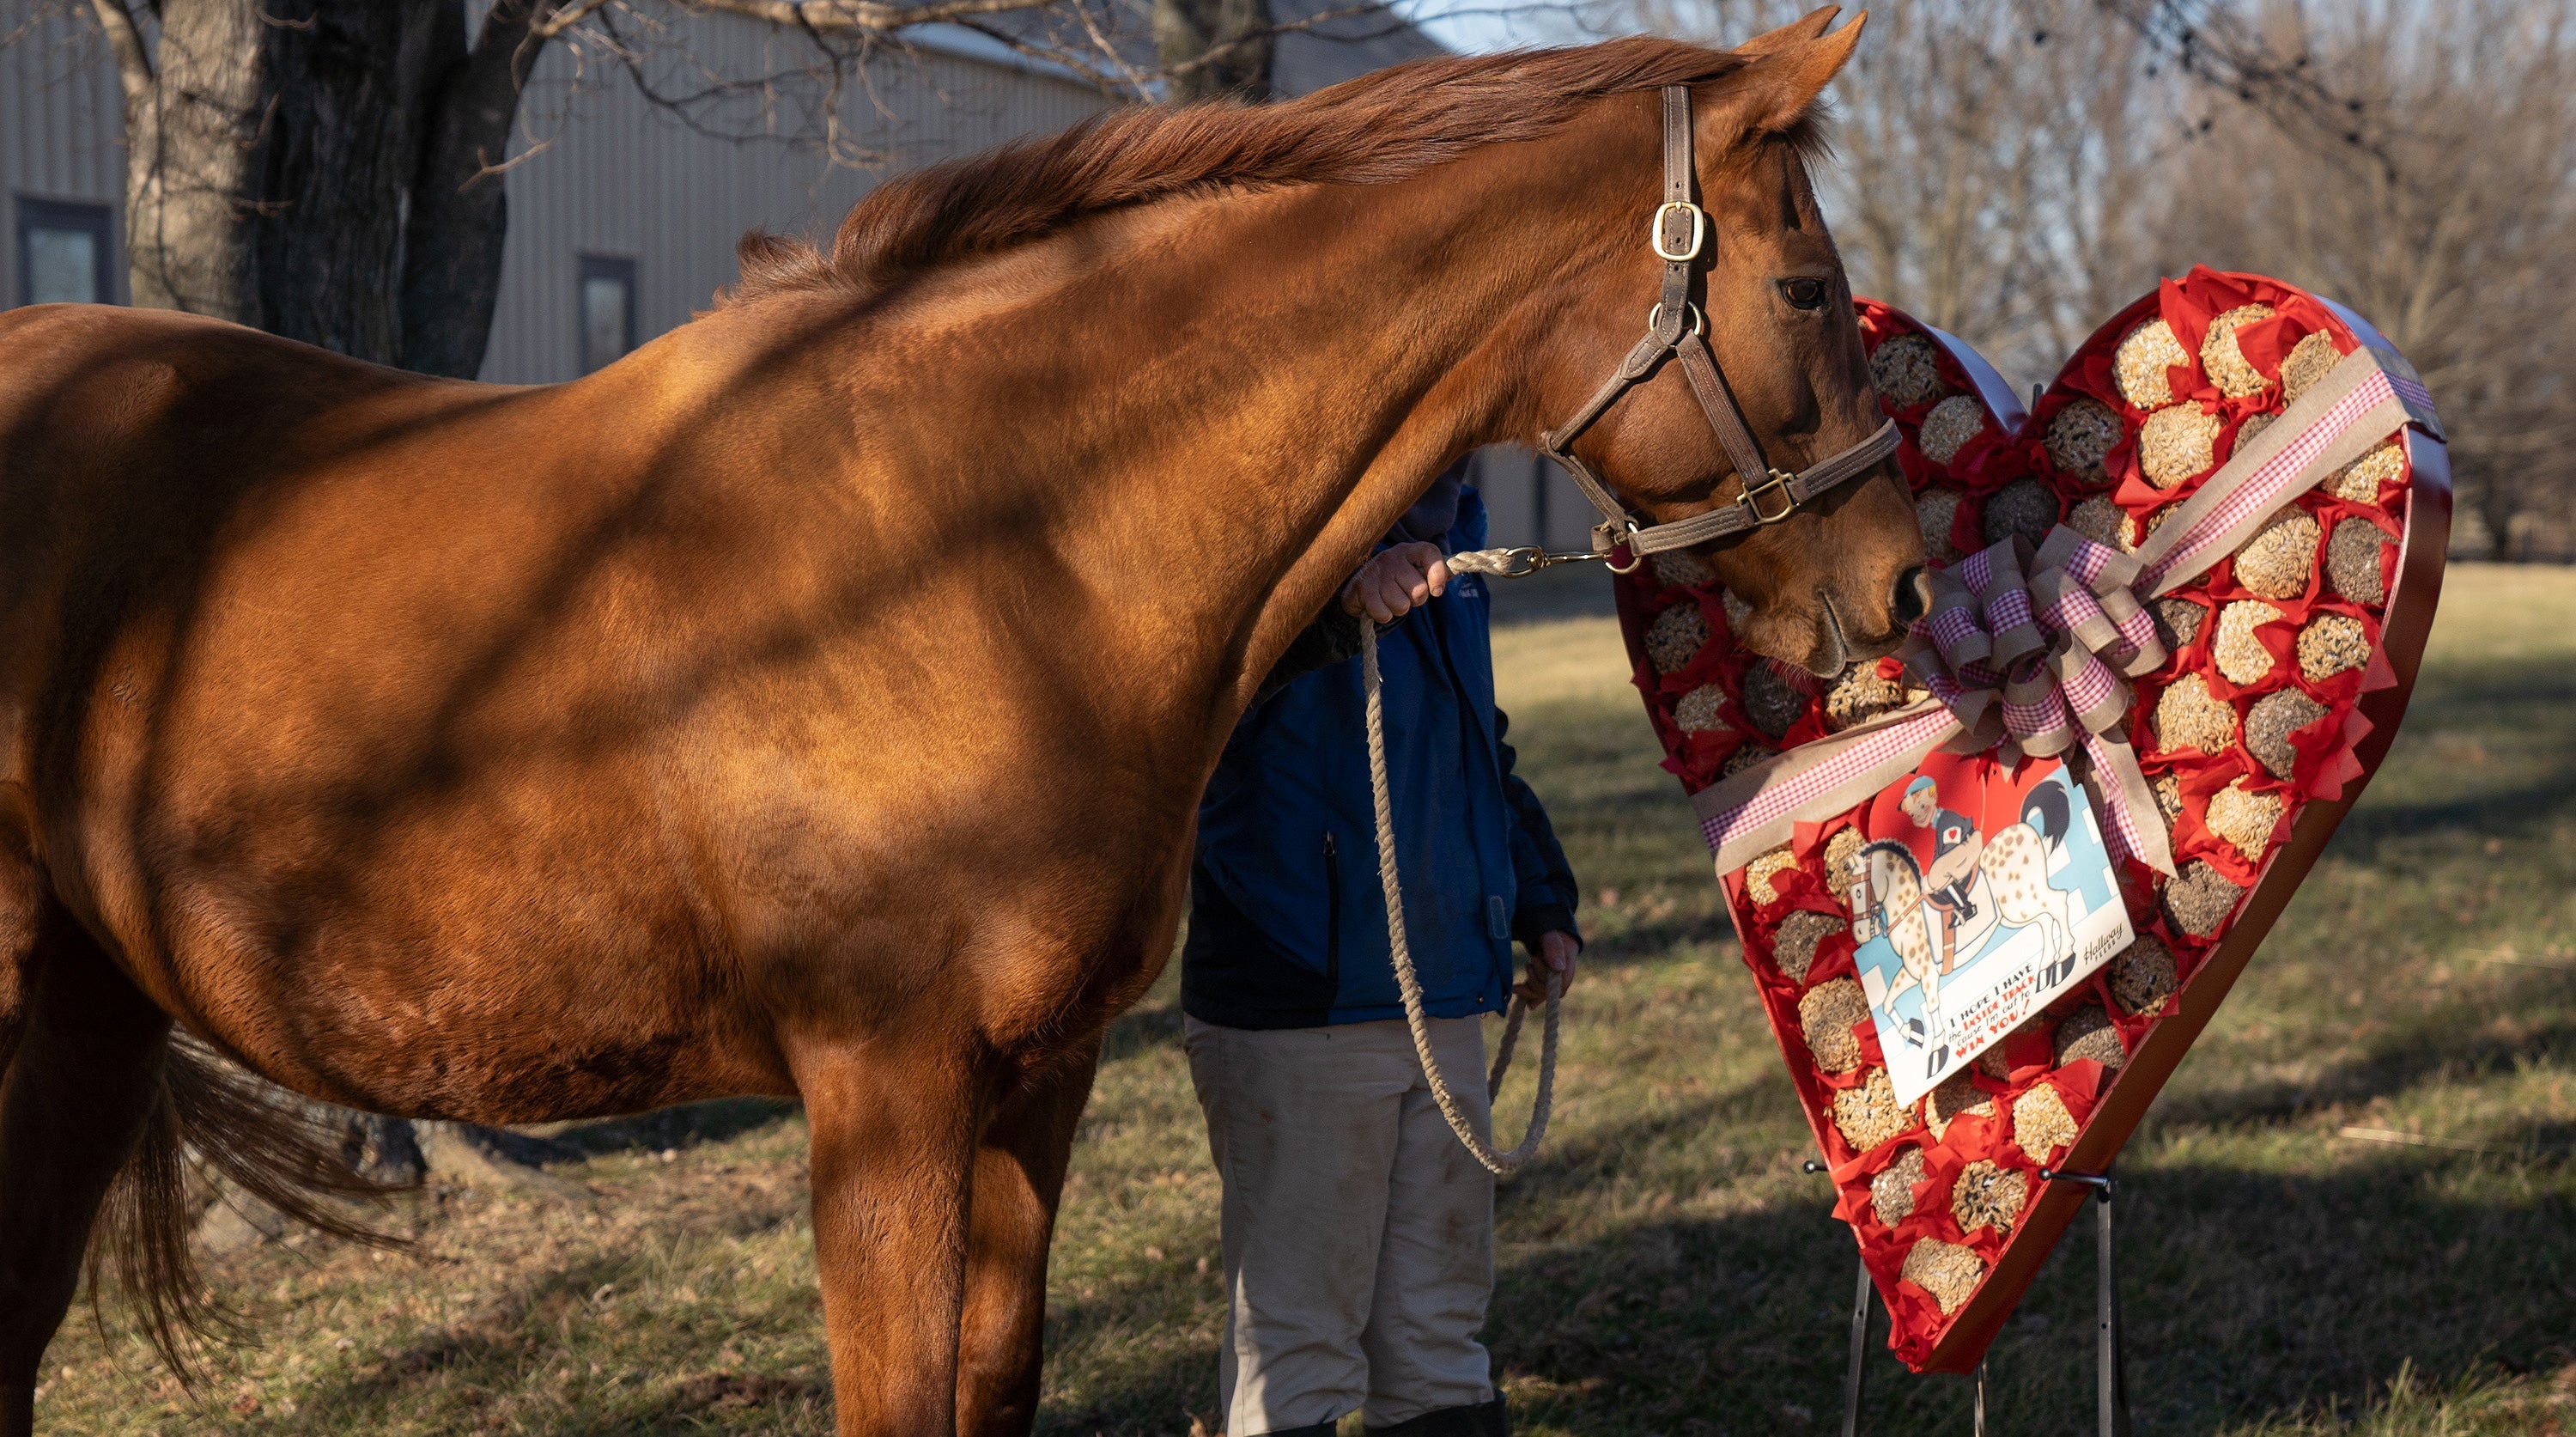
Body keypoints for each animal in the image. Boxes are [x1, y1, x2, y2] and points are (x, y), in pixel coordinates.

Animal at [0, 14, 1917, 1437]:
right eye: (1808, 290)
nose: (1899, 582)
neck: (974, 536)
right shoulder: (883, 1092)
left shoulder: (1034, 1076)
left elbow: (996, 1377)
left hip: (88, 1020)